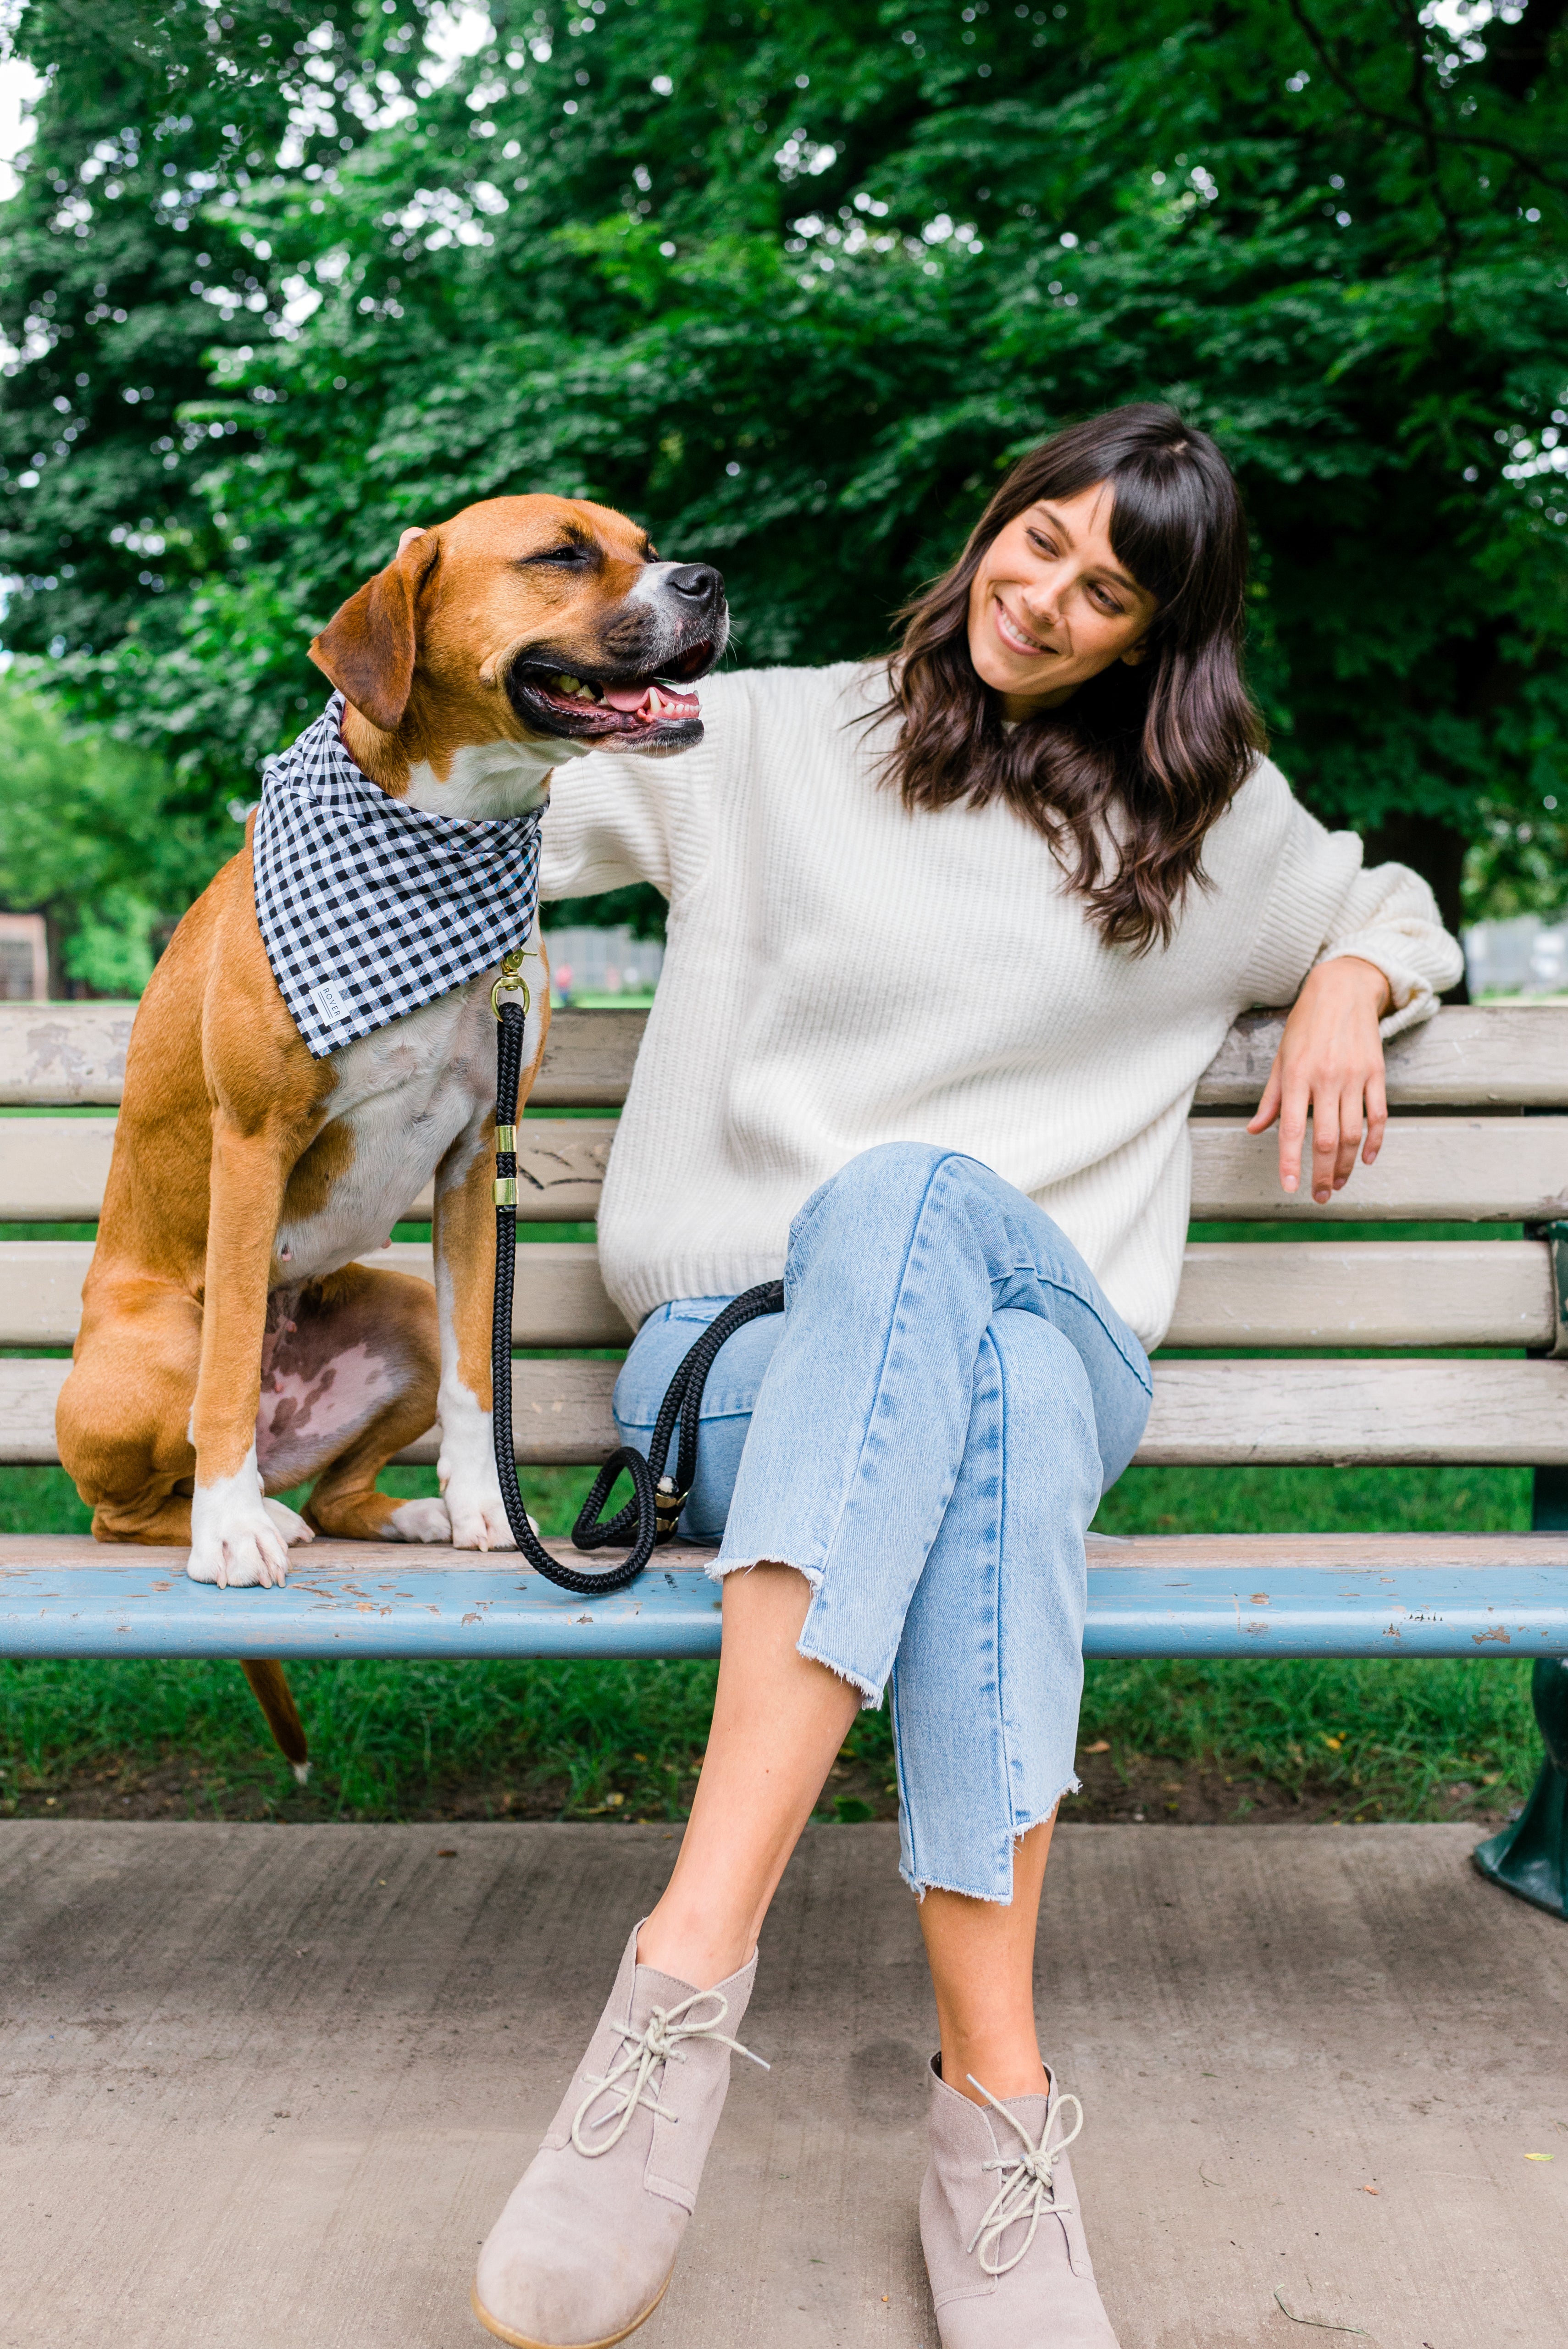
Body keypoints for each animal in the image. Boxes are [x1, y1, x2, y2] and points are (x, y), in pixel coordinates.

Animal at [56, 498, 727, 1616]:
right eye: (561, 553)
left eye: (643, 545)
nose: (707, 581)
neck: (448, 836)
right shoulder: (252, 1144)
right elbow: (228, 1372)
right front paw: (228, 1533)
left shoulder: (476, 1156)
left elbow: (477, 1370)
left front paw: (484, 1508)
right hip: (160, 1344)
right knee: (132, 1502)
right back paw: (243, 1509)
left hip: (401, 1312)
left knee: (338, 1489)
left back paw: (394, 1513)